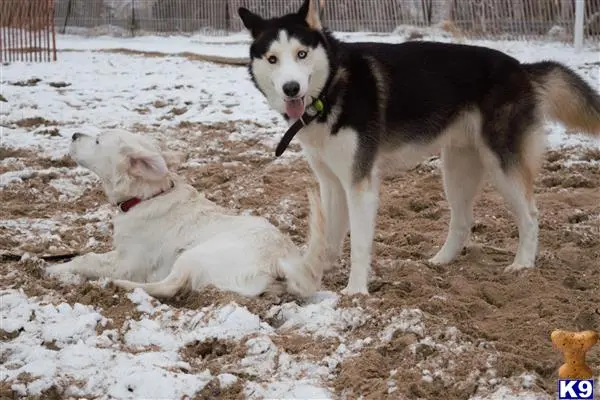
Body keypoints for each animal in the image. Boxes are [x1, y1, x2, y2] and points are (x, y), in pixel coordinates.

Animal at [45, 130, 328, 298]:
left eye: (97, 141)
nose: (74, 134)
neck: (147, 196)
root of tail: (280, 260)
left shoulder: (129, 263)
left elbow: (87, 259)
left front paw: (54, 270)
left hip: (193, 255)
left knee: (169, 286)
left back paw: (119, 286)